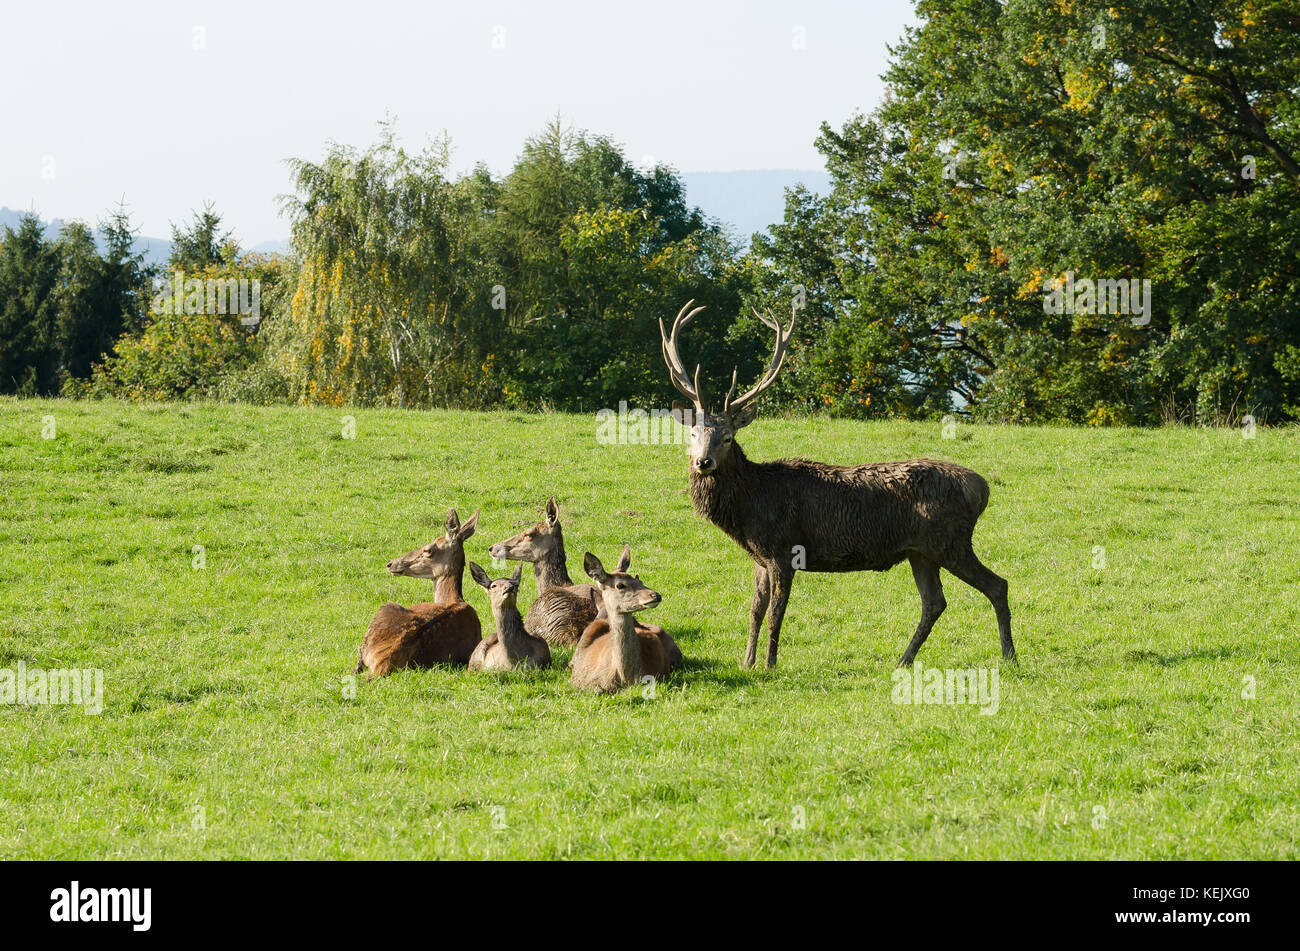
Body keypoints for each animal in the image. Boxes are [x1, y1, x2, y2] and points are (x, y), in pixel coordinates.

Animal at [574, 545, 686, 696]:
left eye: (640, 581)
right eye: (620, 585)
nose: (656, 595)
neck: (625, 678)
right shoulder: (583, 681)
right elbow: (597, 690)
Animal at [660, 298, 1013, 670]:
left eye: (727, 437)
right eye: (693, 433)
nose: (703, 462)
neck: (749, 508)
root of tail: (982, 488)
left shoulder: (785, 549)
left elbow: (775, 613)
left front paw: (770, 664)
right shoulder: (759, 557)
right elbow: (755, 610)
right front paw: (747, 662)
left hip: (950, 542)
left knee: (997, 585)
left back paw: (1009, 656)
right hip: (921, 552)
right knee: (935, 602)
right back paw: (903, 660)